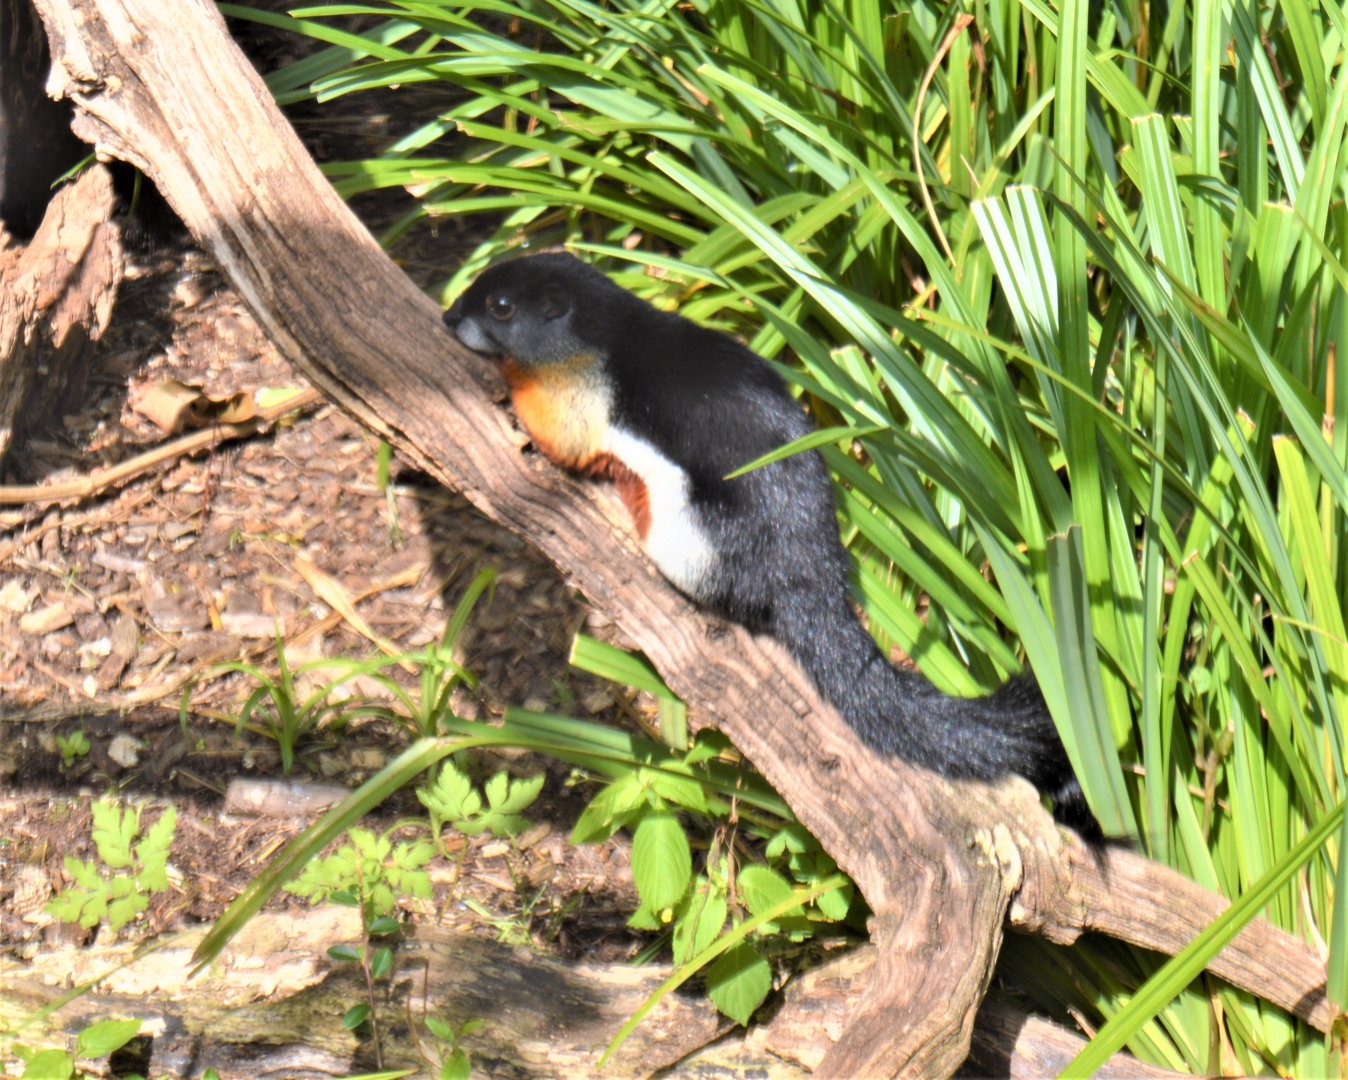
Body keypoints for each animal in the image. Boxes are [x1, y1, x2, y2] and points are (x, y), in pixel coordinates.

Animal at [443, 251, 1093, 833]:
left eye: (501, 307)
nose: (449, 316)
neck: (604, 328)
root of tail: (810, 573)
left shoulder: (583, 393)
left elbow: (561, 436)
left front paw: (510, 386)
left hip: (689, 534)